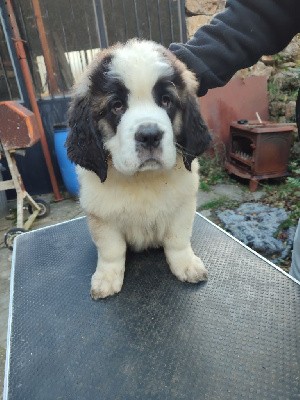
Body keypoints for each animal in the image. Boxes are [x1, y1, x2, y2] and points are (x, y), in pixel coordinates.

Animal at [67, 39, 211, 298]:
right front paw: (107, 278)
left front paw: (186, 264)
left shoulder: (183, 206)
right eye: (116, 106)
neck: (142, 179)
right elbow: (111, 249)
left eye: (166, 101)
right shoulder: (102, 216)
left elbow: (178, 239)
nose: (150, 135)